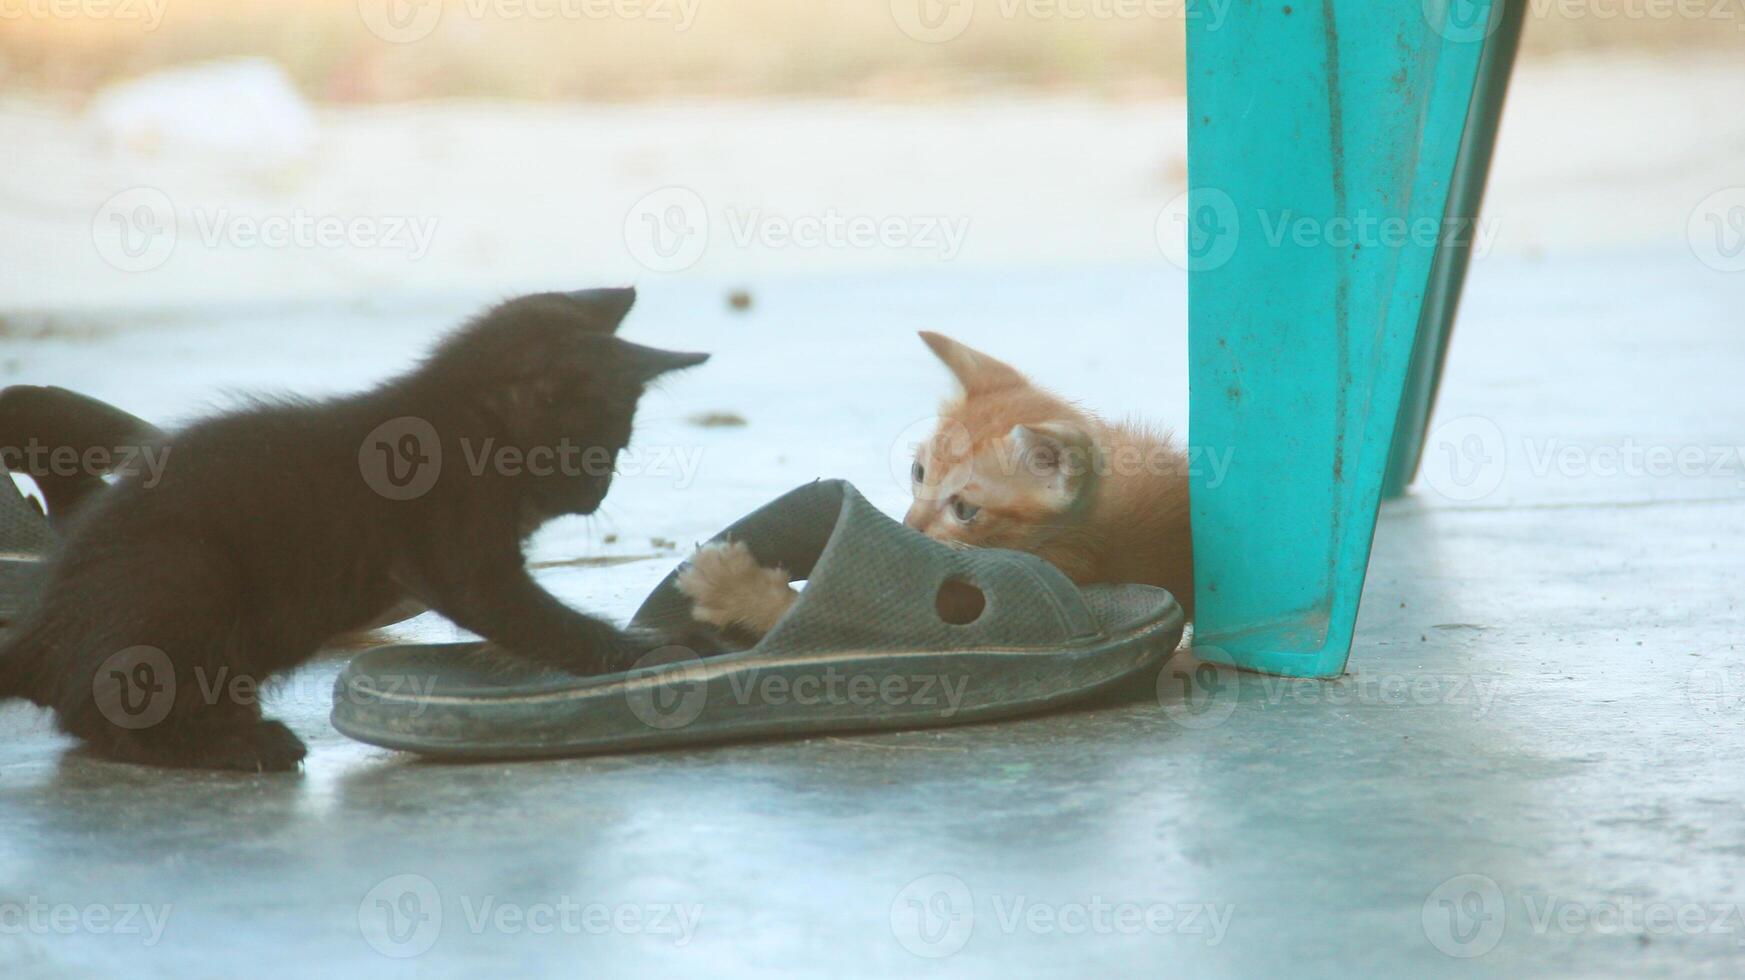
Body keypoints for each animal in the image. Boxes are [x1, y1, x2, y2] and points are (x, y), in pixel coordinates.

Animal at [1, 285, 708, 767]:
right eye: (596, 450)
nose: (597, 493)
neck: (462, 421)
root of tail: (44, 627)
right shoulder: (459, 556)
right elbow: (538, 619)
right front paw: (642, 651)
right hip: (184, 568)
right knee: (99, 717)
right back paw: (237, 744)